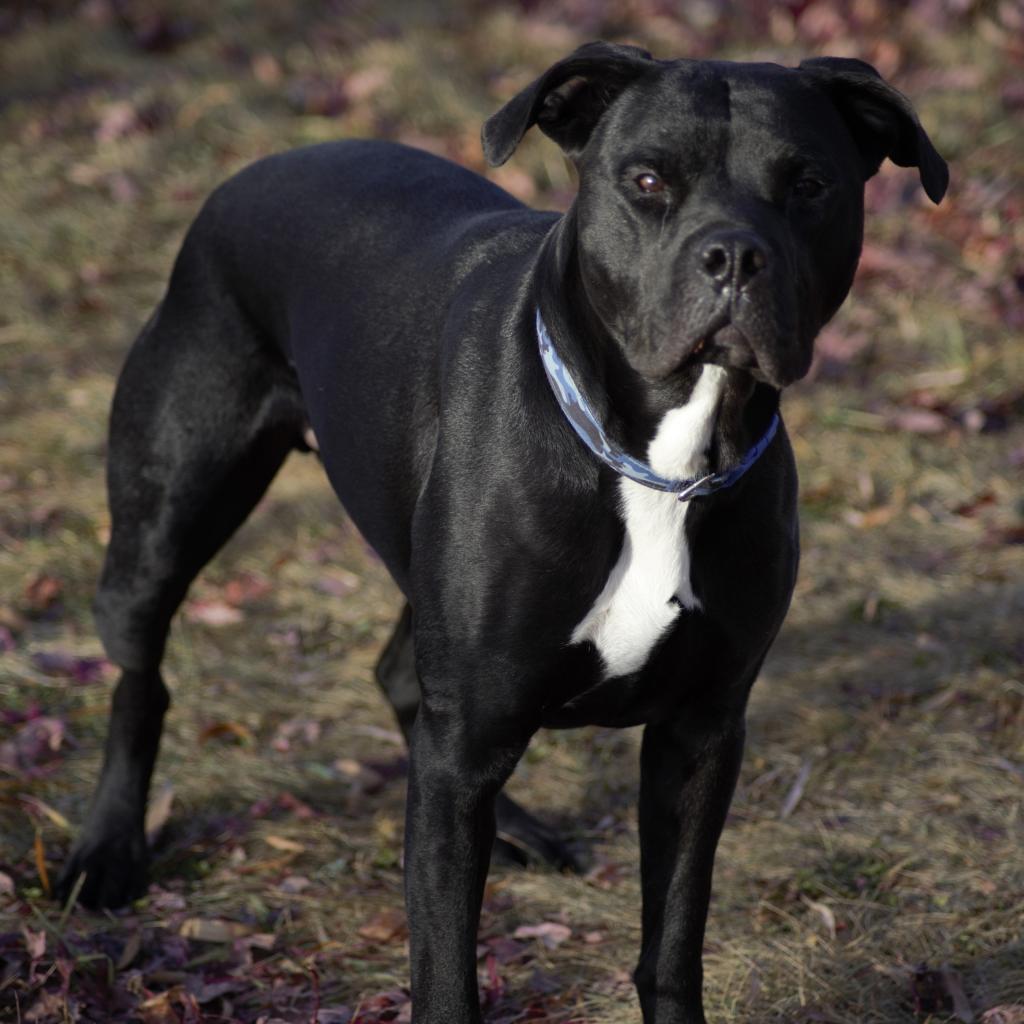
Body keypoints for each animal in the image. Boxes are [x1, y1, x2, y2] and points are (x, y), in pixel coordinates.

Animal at [59, 46, 946, 1024]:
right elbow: (447, 971)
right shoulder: (479, 743)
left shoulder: (701, 733)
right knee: (143, 675)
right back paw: (108, 851)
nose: (735, 256)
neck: (661, 460)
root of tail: (256, 168)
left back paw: (512, 826)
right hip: (166, 520)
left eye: (810, 184)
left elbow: (673, 941)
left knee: (406, 688)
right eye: (646, 180)